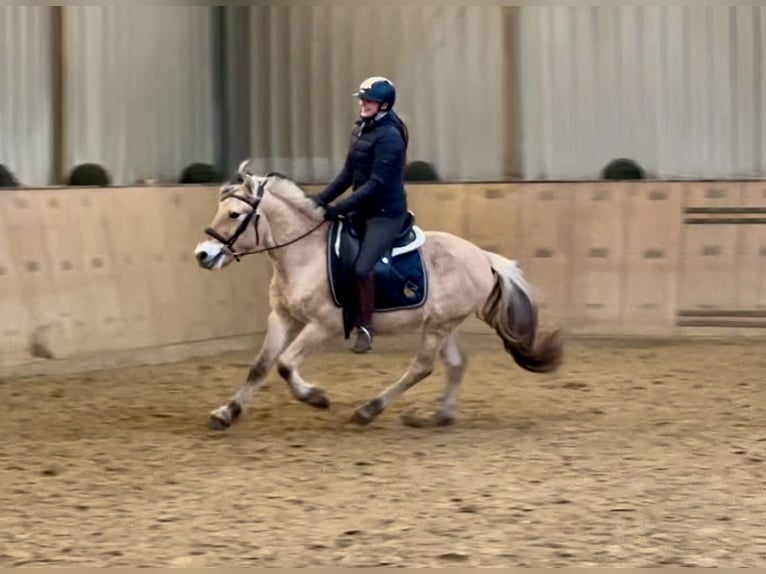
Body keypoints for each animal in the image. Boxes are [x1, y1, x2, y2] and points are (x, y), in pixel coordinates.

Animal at [194, 162, 564, 432]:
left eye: (235, 215)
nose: (203, 254)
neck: (303, 254)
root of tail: (483, 257)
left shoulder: (323, 325)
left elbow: (285, 365)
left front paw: (316, 397)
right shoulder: (283, 318)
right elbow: (260, 367)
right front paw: (226, 413)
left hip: (438, 326)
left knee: (422, 367)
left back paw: (369, 410)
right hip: (443, 325)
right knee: (456, 364)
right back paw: (439, 416)